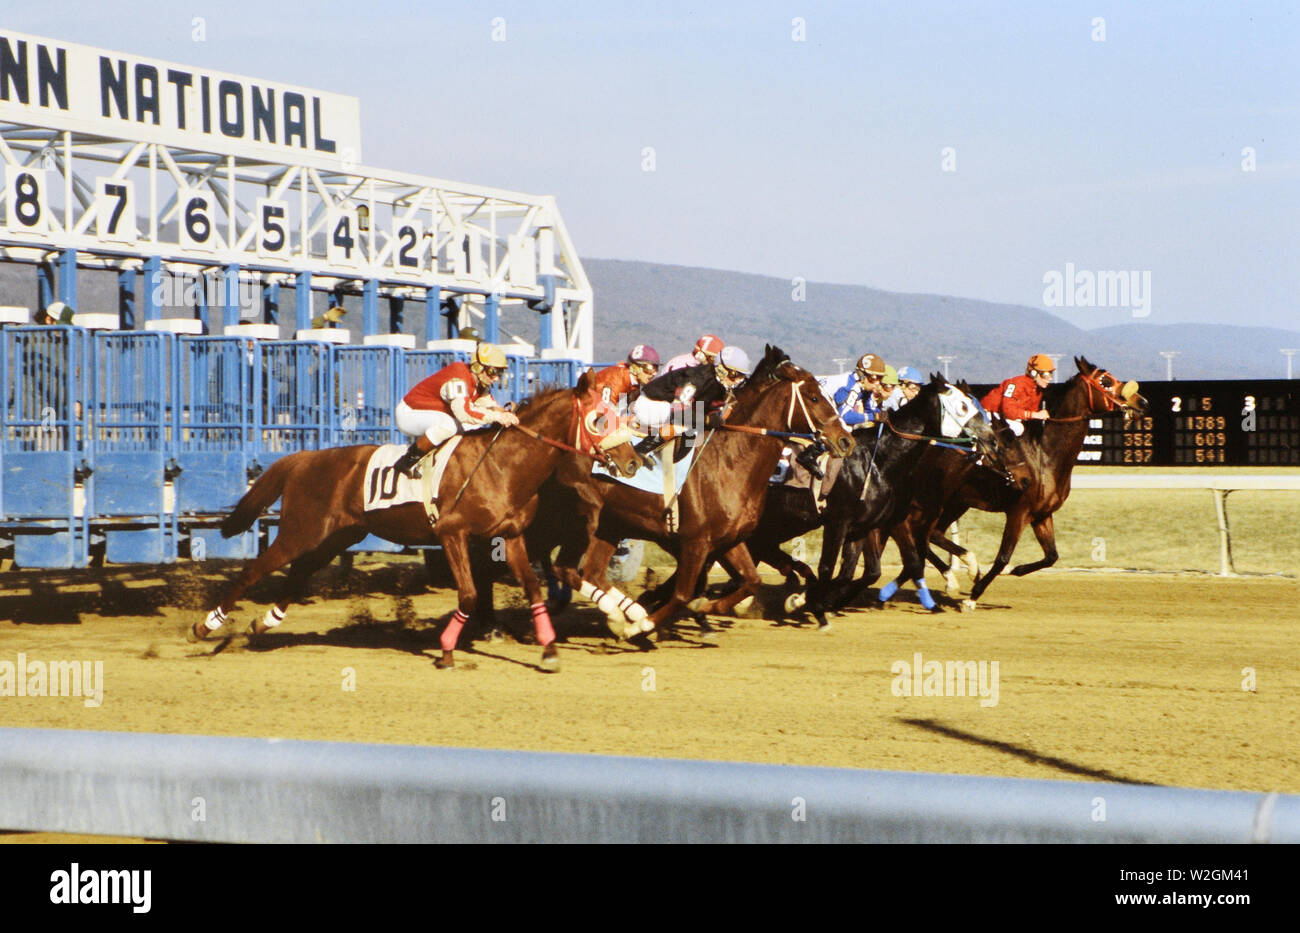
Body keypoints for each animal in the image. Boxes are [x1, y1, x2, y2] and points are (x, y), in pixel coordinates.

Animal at [189, 371, 639, 670]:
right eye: (600, 418)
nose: (634, 461)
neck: (502, 465)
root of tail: (304, 458)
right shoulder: (452, 533)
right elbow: (469, 595)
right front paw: (446, 652)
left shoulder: (510, 537)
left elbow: (532, 589)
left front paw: (548, 650)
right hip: (301, 531)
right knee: (254, 570)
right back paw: (205, 627)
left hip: (335, 537)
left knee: (298, 576)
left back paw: (262, 624)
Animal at [533, 348, 857, 639]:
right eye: (814, 397)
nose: (846, 440)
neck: (729, 462)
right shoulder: (695, 542)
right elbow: (682, 593)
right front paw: (643, 625)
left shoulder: (729, 540)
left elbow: (750, 580)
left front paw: (707, 608)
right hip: (577, 522)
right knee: (558, 563)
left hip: (610, 526)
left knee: (590, 572)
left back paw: (615, 615)